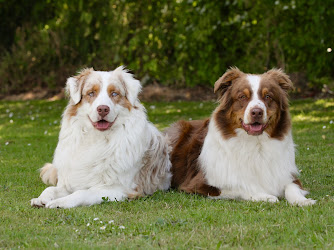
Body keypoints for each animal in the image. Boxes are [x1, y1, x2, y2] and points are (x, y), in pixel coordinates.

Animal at [30, 66, 172, 209]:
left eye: (114, 93)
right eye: (91, 93)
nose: (103, 109)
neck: (97, 139)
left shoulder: (119, 189)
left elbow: (82, 193)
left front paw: (60, 202)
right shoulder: (71, 182)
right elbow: (50, 189)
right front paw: (41, 198)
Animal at [167, 68, 316, 205]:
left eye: (268, 96)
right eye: (242, 97)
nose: (257, 112)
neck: (255, 143)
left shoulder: (287, 175)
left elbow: (292, 187)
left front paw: (302, 200)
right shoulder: (200, 184)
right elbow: (241, 187)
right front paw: (266, 196)